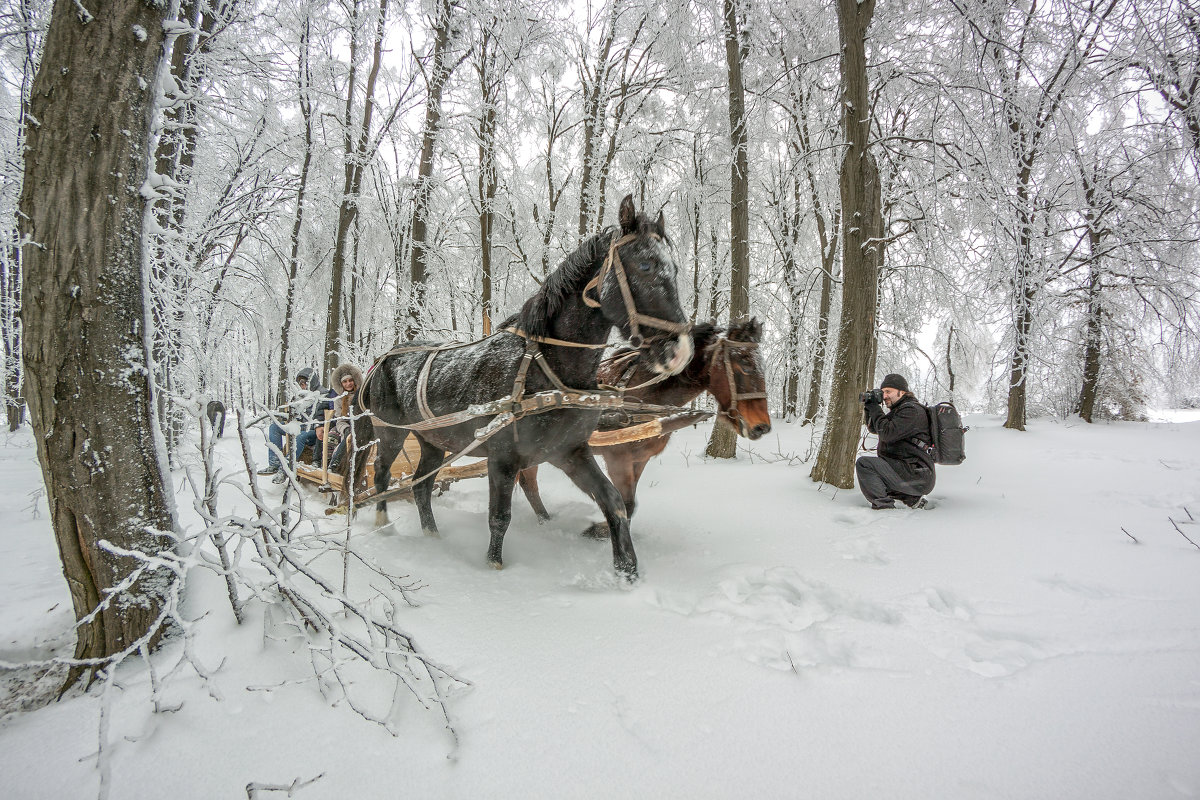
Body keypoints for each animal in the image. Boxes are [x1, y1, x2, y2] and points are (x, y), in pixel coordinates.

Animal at [360, 195, 691, 582]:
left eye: (675, 270)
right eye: (645, 264)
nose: (679, 349)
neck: (546, 370)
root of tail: (383, 357)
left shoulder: (570, 452)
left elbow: (614, 503)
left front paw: (627, 570)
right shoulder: (502, 458)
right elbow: (499, 518)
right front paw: (494, 566)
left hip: (433, 441)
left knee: (421, 485)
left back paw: (432, 535)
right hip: (391, 433)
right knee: (382, 475)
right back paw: (383, 523)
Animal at [523, 319, 768, 537]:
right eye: (745, 364)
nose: (762, 427)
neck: (645, 396)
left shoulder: (640, 459)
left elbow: (631, 504)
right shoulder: (618, 458)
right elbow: (625, 503)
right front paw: (598, 530)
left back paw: (545, 520)